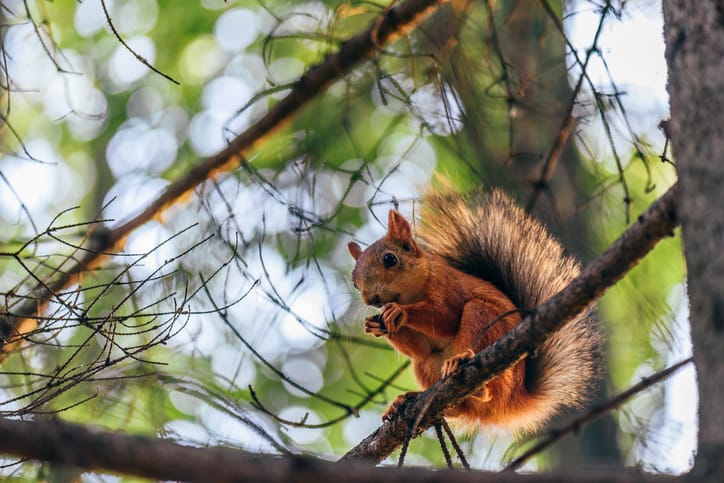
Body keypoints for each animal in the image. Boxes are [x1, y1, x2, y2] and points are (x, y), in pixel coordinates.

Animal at [347, 188, 601, 433]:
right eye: (354, 281)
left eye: (390, 259)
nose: (371, 298)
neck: (413, 293)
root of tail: (513, 400)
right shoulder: (422, 346)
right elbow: (421, 349)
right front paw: (378, 325)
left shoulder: (447, 286)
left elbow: (445, 317)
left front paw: (400, 312)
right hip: (426, 367)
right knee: (455, 404)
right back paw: (408, 400)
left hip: (484, 321)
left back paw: (470, 373)